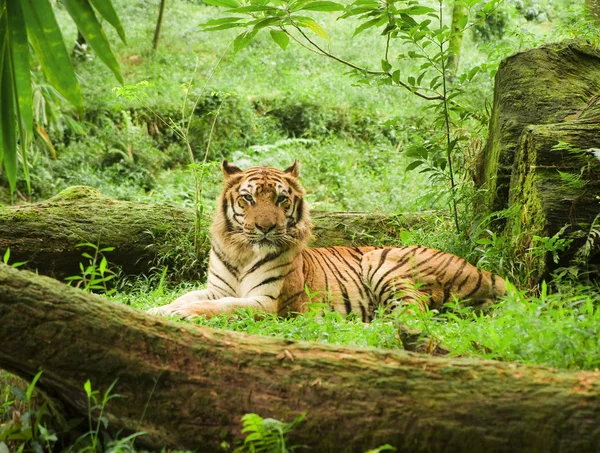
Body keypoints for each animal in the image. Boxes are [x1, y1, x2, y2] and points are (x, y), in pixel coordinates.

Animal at [148, 161, 504, 320]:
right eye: (248, 199)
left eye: (281, 200)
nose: (265, 228)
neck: (242, 252)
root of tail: (482, 270)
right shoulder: (216, 287)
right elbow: (185, 296)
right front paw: (156, 310)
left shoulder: (267, 301)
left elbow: (219, 307)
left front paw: (180, 315)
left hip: (381, 262)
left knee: (410, 316)